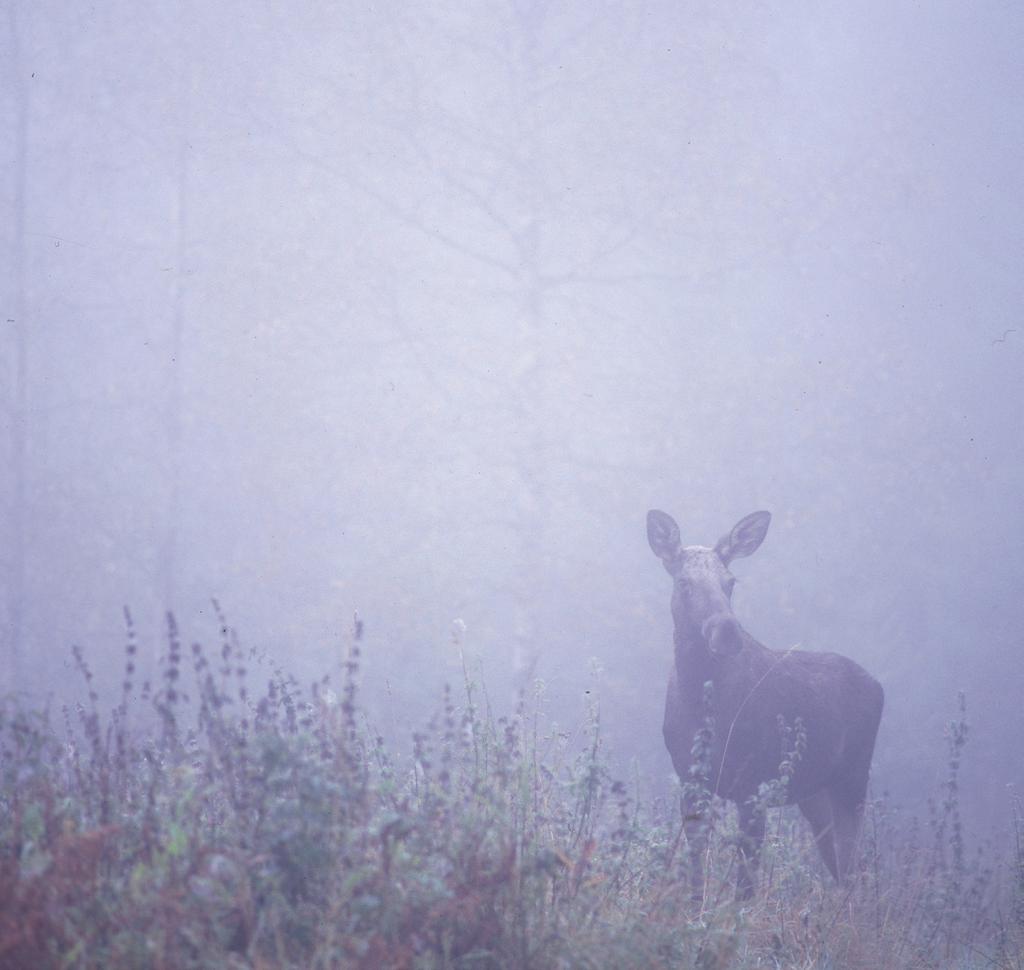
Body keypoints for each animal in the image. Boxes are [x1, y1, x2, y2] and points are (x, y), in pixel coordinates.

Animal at [651, 512, 884, 897]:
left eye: (730, 581)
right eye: (684, 582)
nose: (726, 631)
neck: (700, 704)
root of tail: (878, 685)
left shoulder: (753, 784)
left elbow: (745, 884)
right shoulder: (691, 780)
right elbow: (696, 876)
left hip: (852, 777)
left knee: (856, 870)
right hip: (813, 793)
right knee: (846, 866)